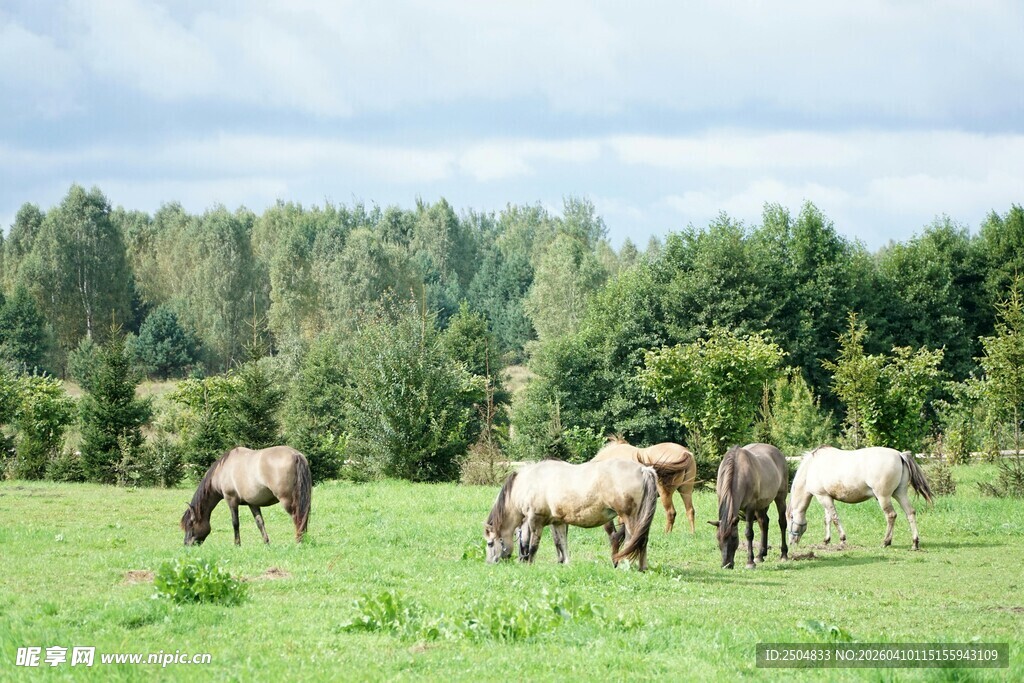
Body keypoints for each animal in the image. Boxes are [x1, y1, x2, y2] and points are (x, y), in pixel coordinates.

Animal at [181, 446, 312, 546]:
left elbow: (235, 523)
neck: (222, 471)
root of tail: (296, 455)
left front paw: (237, 544)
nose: (186, 544)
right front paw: (266, 543)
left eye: (190, 524)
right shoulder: (252, 504)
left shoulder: (231, 500)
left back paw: (299, 541)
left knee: (297, 517)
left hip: (287, 500)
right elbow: (260, 522)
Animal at [484, 459, 661, 571]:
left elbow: (533, 545)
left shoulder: (535, 520)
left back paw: (625, 565)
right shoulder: (558, 522)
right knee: (642, 540)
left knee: (632, 540)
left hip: (629, 517)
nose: (489, 563)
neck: (529, 482)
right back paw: (642, 568)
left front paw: (529, 563)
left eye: (490, 543)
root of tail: (643, 469)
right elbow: (562, 543)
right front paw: (566, 563)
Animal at [788, 446, 933, 550]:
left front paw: (842, 539)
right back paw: (914, 543)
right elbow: (827, 519)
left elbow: (834, 518)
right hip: (900, 493)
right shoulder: (826, 497)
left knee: (891, 515)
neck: (810, 468)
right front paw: (826, 540)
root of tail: (900, 455)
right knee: (910, 513)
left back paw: (885, 542)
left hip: (884, 497)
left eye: (790, 520)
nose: (791, 543)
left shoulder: (822, 497)